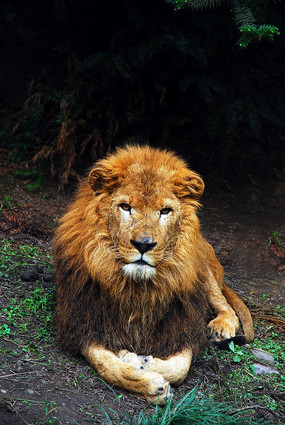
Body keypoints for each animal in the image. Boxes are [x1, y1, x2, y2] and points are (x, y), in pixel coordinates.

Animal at [53, 144, 253, 402]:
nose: (143, 244)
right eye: (125, 207)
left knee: (225, 305)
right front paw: (145, 379)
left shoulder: (183, 325)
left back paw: (222, 326)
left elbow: (179, 367)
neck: (138, 288)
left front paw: (143, 362)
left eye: (165, 211)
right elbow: (108, 365)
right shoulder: (82, 321)